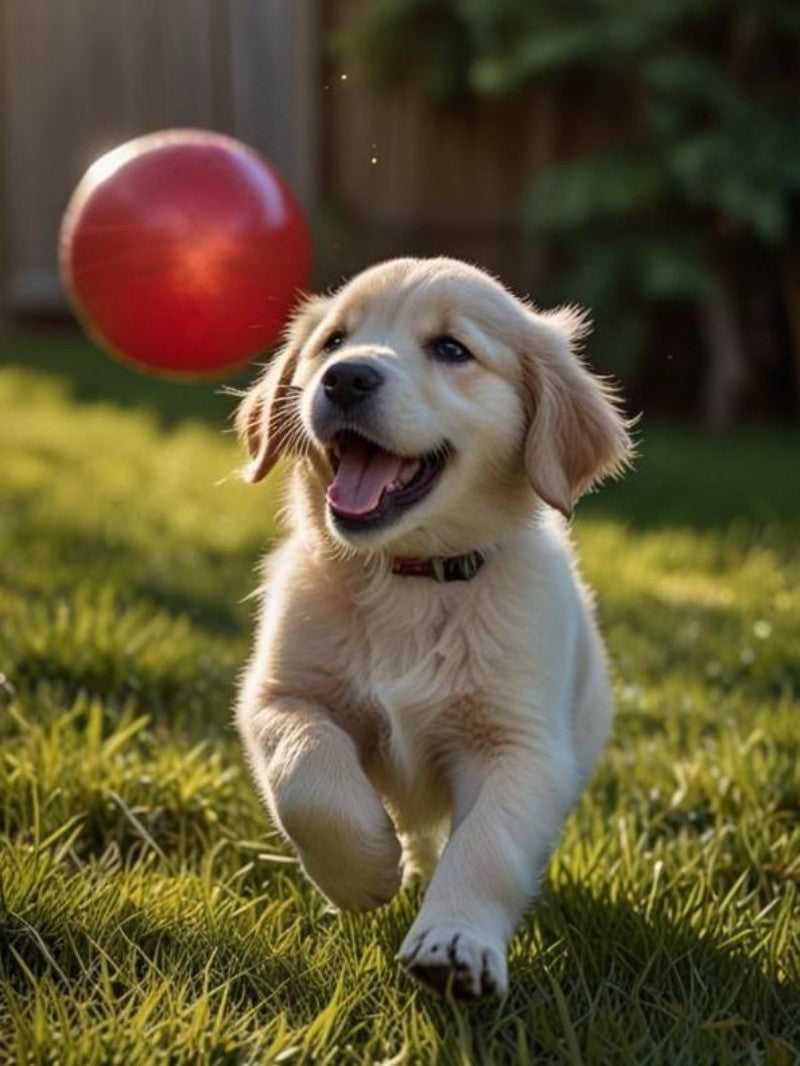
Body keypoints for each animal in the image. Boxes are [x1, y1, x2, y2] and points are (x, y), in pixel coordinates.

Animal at [231, 257, 631, 997]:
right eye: (333, 341)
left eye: (451, 349)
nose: (346, 378)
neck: (409, 579)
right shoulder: (282, 696)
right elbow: (309, 775)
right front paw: (363, 871)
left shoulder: (521, 748)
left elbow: (487, 846)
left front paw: (455, 942)